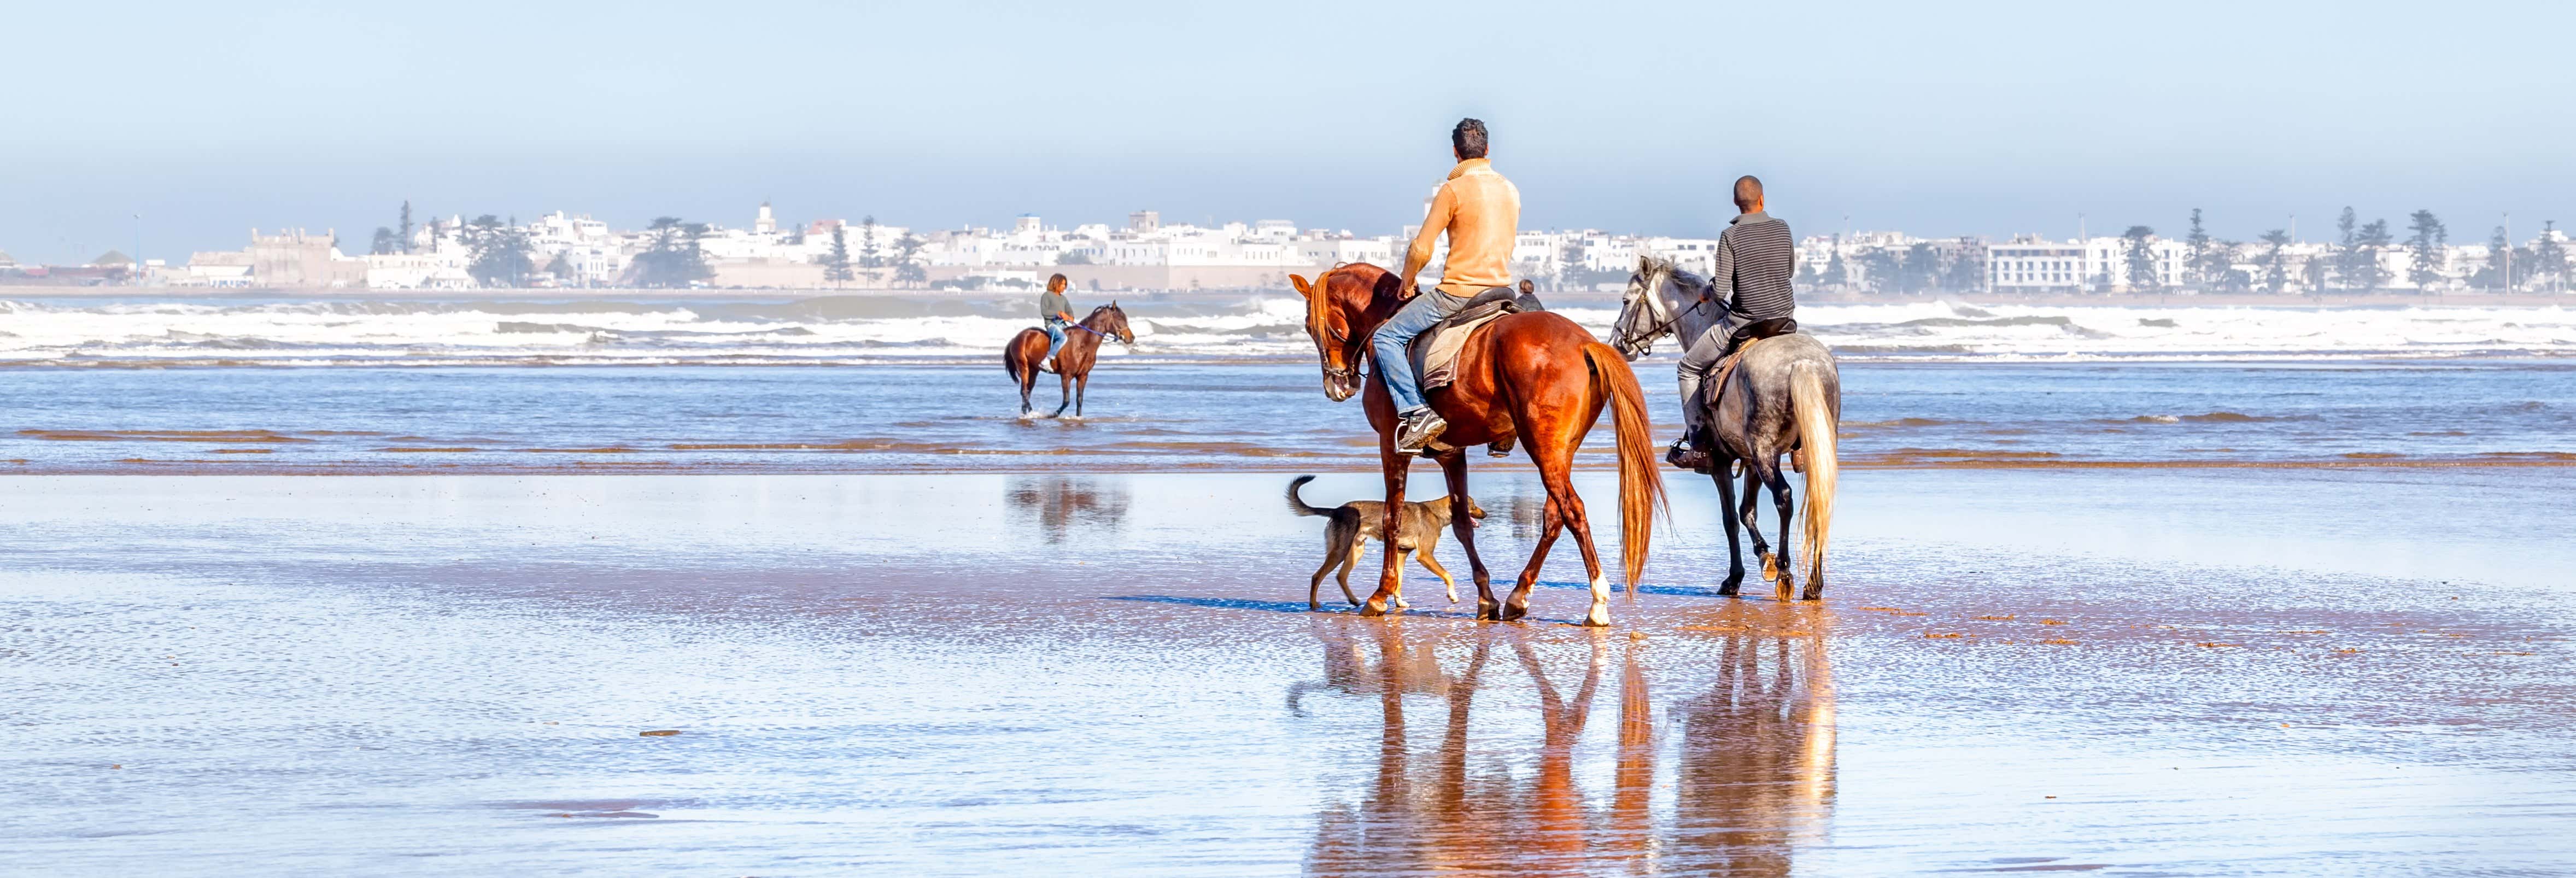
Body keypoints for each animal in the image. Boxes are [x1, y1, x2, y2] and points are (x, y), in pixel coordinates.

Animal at [1002, 303, 1134, 418]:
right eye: (1119, 319)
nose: (1132, 338)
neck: (1083, 343)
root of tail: (1017, 337)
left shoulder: (1083, 376)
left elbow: (1079, 399)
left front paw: (1078, 417)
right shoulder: (1066, 375)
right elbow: (1066, 400)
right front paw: (1053, 414)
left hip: (1034, 370)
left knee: (1027, 392)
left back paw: (1025, 414)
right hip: (1024, 367)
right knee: (1025, 392)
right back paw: (1033, 413)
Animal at [1291, 263, 1663, 627]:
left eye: (1310, 325)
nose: (1338, 384)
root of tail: (1584, 343)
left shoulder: (1391, 445)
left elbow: (1391, 519)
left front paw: (1381, 595)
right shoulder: (1451, 455)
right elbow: (1461, 524)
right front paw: (1486, 598)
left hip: (1542, 448)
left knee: (1573, 510)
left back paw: (1597, 601)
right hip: (1561, 451)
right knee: (1554, 516)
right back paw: (1518, 595)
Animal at [1608, 255, 1840, 600]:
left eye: (1626, 300)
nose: (1617, 344)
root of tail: (1803, 363)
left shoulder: (1721, 461)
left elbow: (1730, 517)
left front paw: (1736, 578)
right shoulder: (1750, 460)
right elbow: (1747, 511)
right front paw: (1764, 558)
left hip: (1766, 453)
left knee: (1784, 498)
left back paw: (1787, 572)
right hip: (1808, 448)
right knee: (1818, 502)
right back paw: (1813, 583)